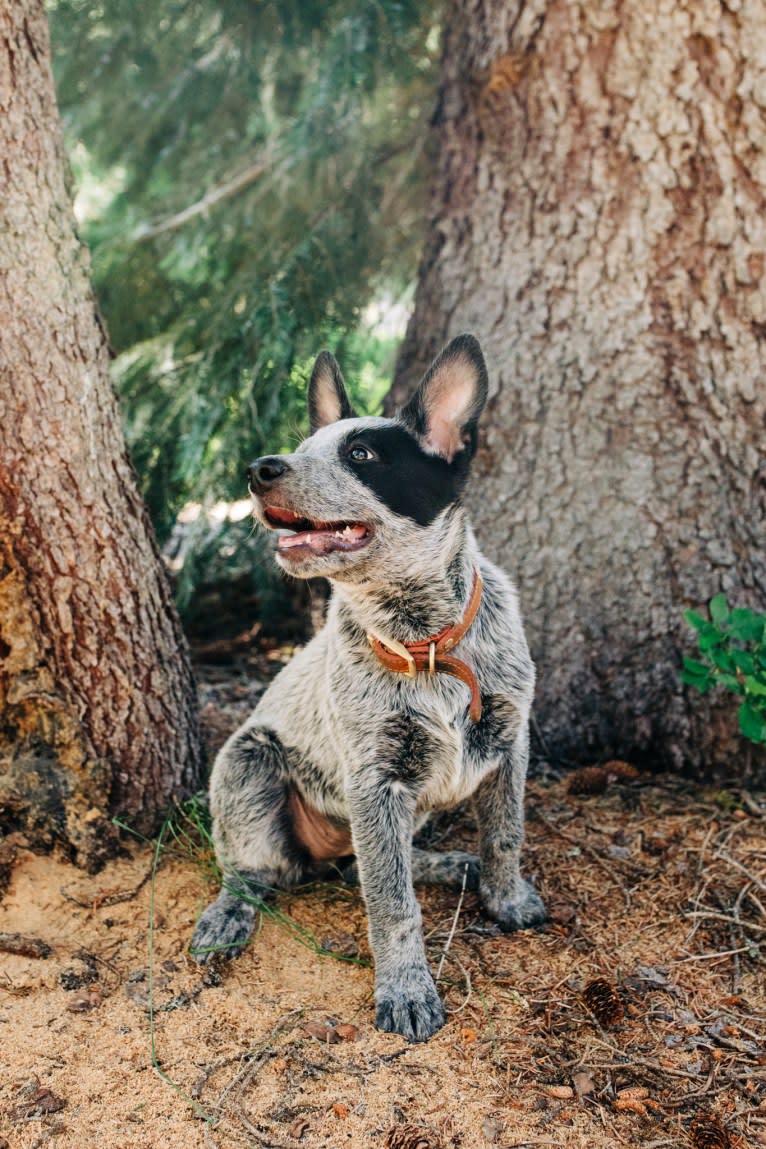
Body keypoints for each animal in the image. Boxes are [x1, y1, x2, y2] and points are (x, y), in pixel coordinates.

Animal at [190, 333, 544, 1043]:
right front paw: (406, 990)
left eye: (360, 455)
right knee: (251, 872)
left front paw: (506, 898)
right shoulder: (374, 782)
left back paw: (450, 864)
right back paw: (227, 915)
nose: (258, 468)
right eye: (302, 447)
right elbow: (392, 904)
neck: (427, 645)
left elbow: (505, 835)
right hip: (249, 762)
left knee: (365, 862)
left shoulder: (509, 745)